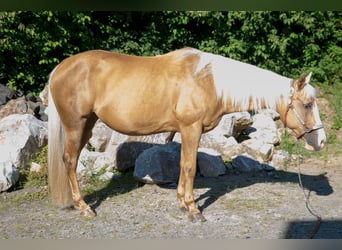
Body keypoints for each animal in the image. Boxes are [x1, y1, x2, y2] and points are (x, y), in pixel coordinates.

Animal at [47, 47, 326, 222]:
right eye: (307, 104)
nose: (320, 141)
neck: (209, 81)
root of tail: (60, 68)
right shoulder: (192, 128)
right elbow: (191, 167)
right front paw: (193, 210)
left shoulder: (186, 130)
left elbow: (183, 165)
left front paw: (182, 203)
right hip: (75, 125)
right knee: (70, 161)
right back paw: (84, 208)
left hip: (87, 124)